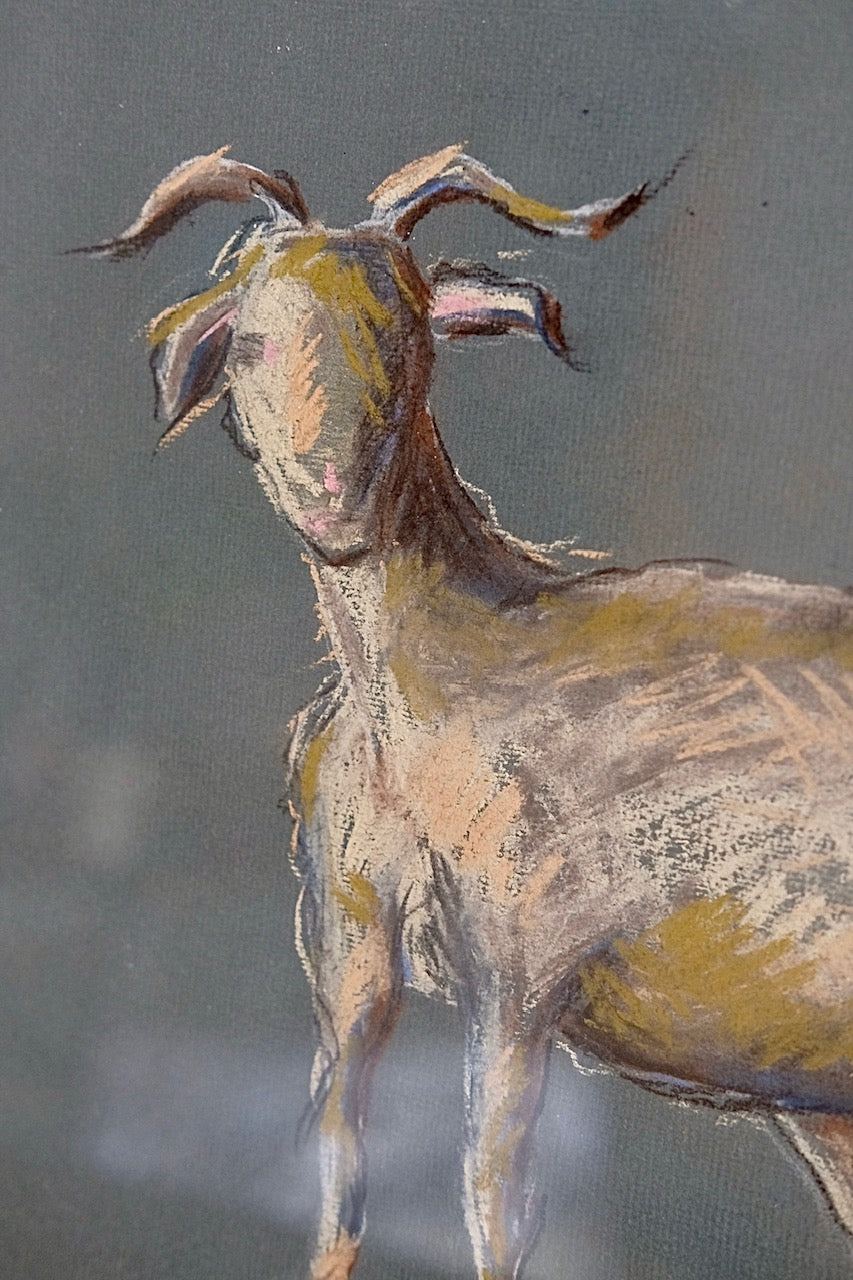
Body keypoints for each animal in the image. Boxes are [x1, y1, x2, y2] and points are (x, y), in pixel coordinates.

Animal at [83, 145, 853, 1279]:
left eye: (404, 331)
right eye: (252, 338)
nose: (333, 502)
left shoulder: (521, 979)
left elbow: (495, 1209)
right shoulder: (350, 957)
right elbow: (338, 1184)